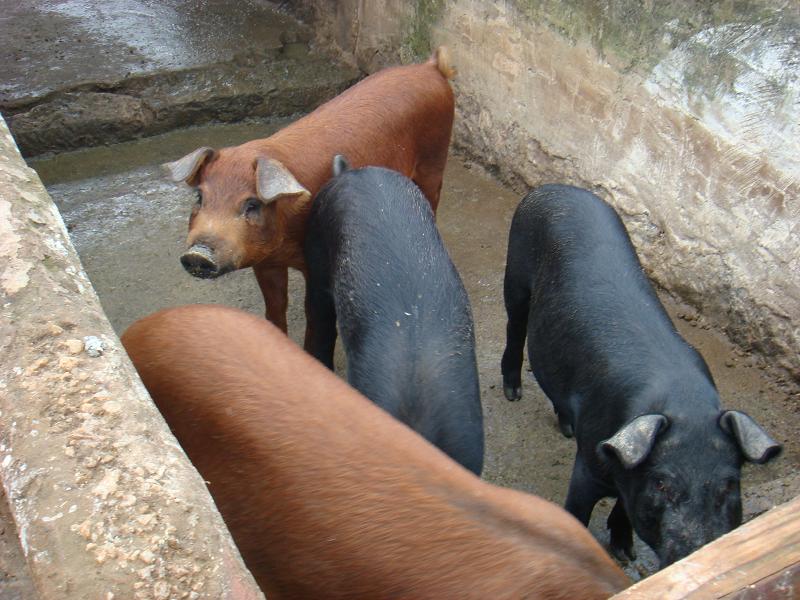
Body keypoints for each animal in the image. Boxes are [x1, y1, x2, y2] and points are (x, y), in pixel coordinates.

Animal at [164, 48, 456, 342]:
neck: (284, 236)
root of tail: (429, 67)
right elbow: (275, 306)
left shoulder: (315, 263)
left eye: (252, 204)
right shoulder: (266, 262)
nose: (198, 254)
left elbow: (313, 314)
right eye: (199, 197)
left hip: (435, 159)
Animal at [500, 185, 780, 568]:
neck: (685, 406)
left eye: (728, 485)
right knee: (516, 326)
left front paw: (625, 554)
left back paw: (566, 428)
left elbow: (622, 508)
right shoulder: (590, 461)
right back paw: (512, 392)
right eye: (662, 483)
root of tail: (553, 188)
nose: (697, 550)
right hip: (515, 273)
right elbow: (577, 510)